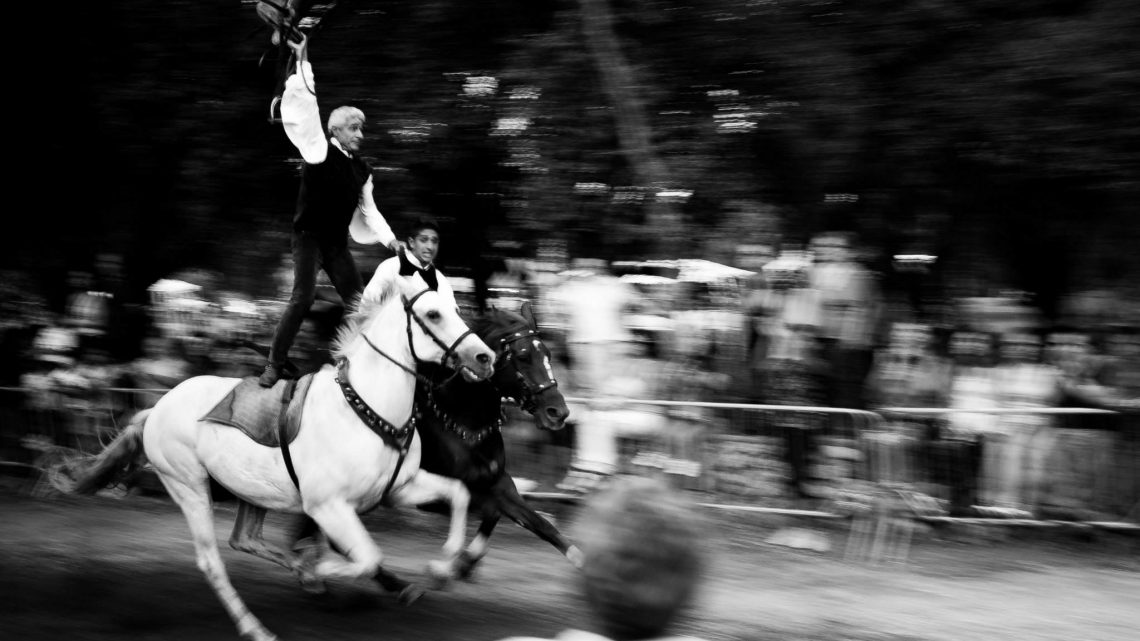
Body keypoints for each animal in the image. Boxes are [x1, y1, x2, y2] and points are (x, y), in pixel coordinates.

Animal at [65, 277, 494, 638]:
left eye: (457, 308)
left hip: (252, 491)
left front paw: (443, 567)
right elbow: (367, 557)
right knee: (212, 561)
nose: (485, 357)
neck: (367, 410)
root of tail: (155, 408)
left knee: (244, 539)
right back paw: (256, 626)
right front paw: (317, 569)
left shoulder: (399, 488)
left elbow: (459, 494)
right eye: (433, 314)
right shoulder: (328, 506)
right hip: (188, 486)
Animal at [225, 298, 574, 593]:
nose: (558, 412)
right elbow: (488, 509)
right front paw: (448, 567)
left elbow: (536, 523)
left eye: (548, 355)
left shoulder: (497, 482)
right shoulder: (435, 493)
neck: (461, 424)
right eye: (523, 356)